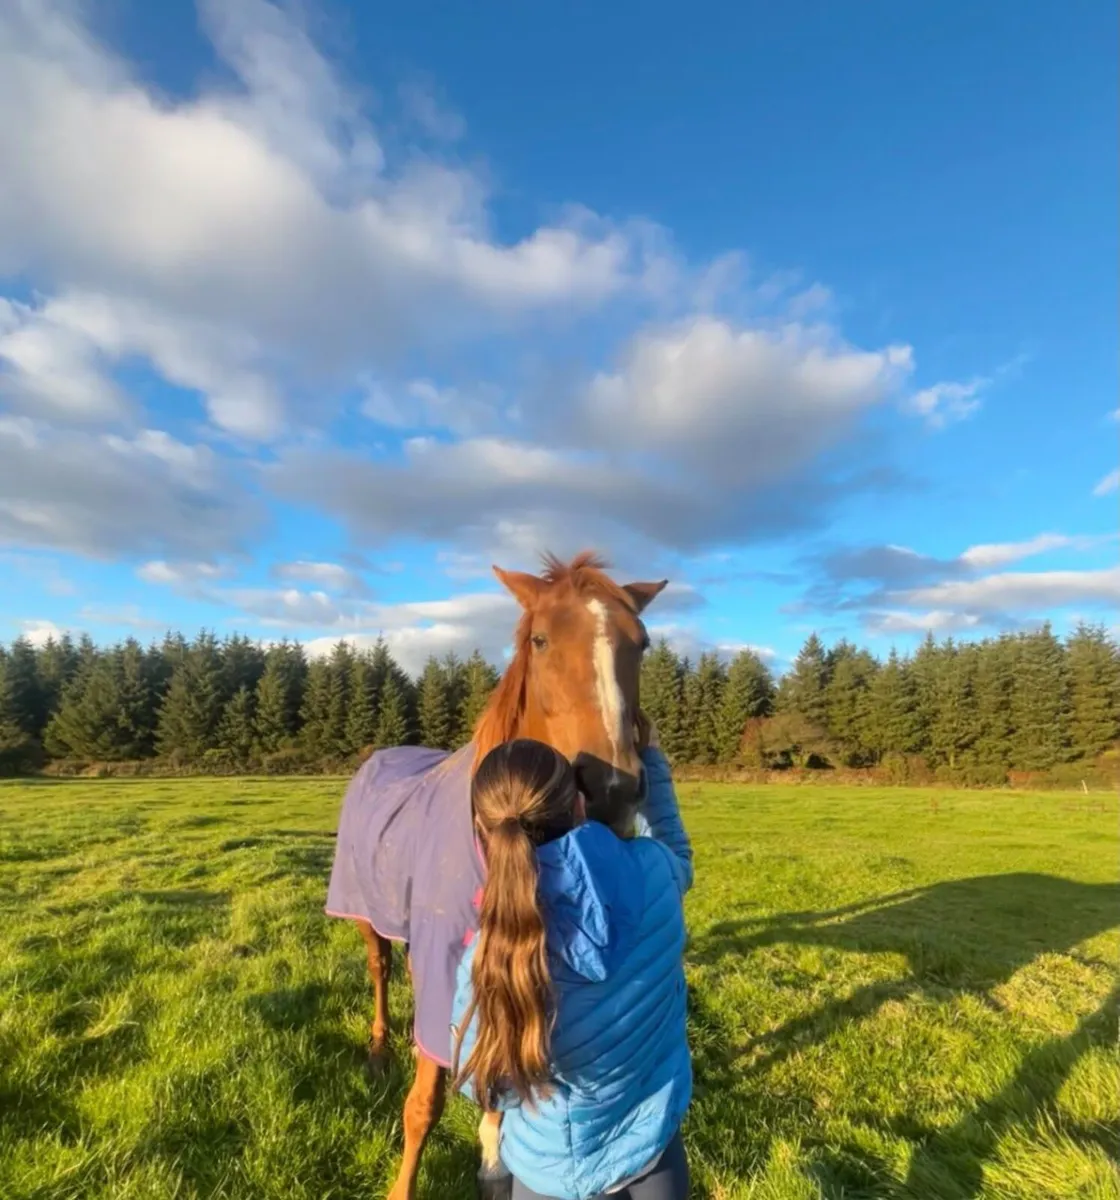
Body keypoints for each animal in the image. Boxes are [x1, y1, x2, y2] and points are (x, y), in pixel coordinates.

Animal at [324, 552, 668, 1200]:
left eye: (642, 643)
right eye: (540, 639)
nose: (613, 790)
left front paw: (492, 1159)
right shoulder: (443, 969)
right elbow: (425, 1104)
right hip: (363, 914)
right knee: (380, 968)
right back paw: (379, 1051)